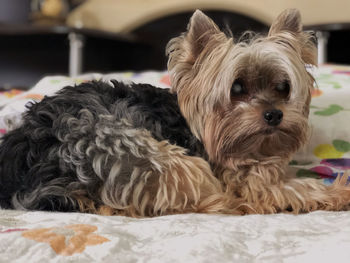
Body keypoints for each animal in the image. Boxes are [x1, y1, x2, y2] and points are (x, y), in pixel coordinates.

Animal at [0, 9, 350, 218]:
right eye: (237, 88)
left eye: (282, 87)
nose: (274, 115)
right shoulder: (240, 177)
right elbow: (286, 188)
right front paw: (338, 192)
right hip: (149, 154)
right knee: (217, 202)